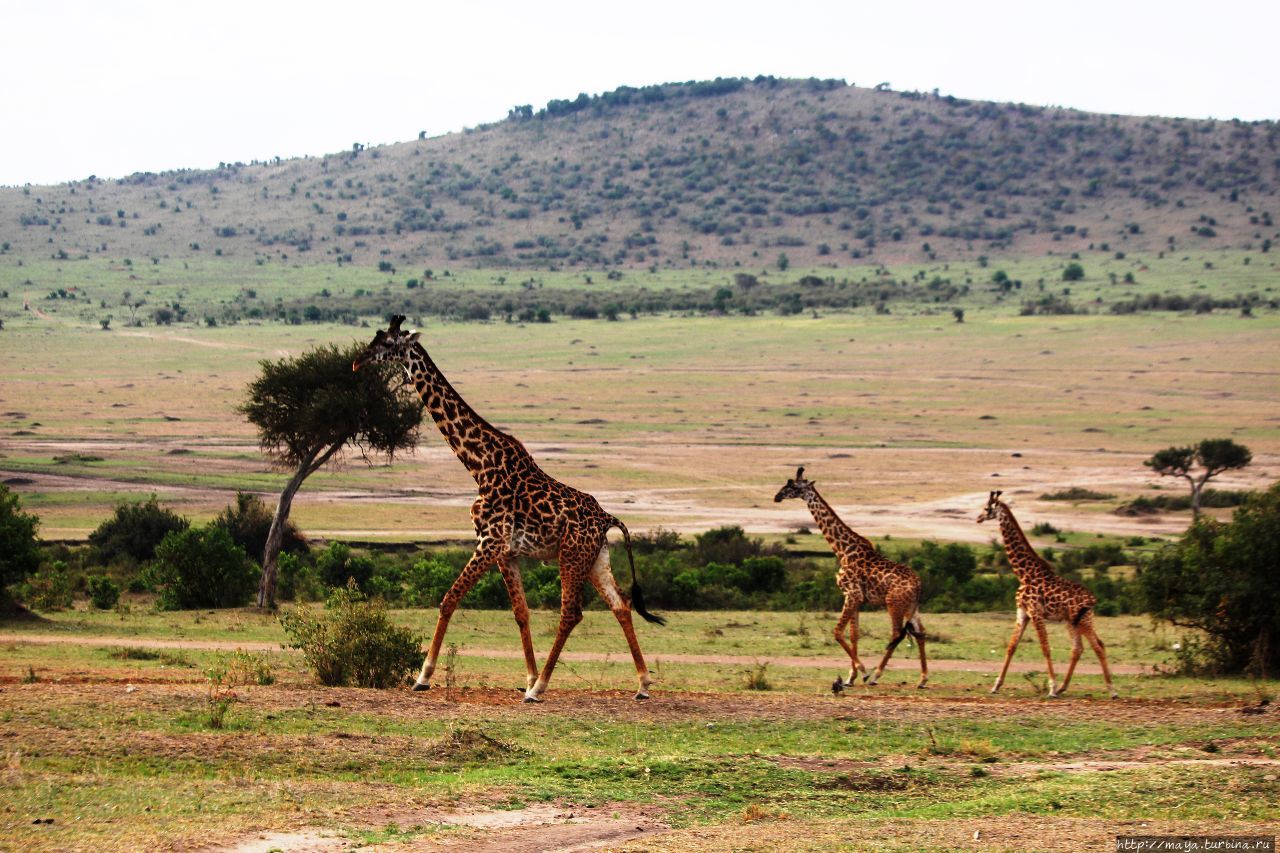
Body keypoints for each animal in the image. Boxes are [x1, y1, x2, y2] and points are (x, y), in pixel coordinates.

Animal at [353, 315, 665, 701]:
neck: (478, 464)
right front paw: (527, 677)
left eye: (387, 344)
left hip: (571, 556)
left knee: (571, 613)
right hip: (595, 558)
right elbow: (521, 612)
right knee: (620, 604)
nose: (357, 362)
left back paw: (542, 689)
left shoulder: (490, 541)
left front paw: (423, 677)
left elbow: (449, 599)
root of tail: (608, 518)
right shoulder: (506, 551)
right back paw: (642, 683)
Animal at [768, 468, 931, 686]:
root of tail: (919, 584)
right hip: (912, 606)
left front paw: (863, 672)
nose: (777, 497)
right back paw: (922, 679)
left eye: (792, 486)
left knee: (897, 633)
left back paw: (876, 675)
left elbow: (838, 632)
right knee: (920, 633)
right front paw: (850, 677)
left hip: (893, 604)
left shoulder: (851, 594)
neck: (842, 550)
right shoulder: (856, 598)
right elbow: (854, 634)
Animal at [977, 489, 1121, 696]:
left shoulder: (1035, 612)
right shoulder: (1022, 612)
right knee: (1079, 648)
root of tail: (1093, 599)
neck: (1024, 574)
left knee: (1098, 646)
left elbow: (1045, 647)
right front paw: (996, 685)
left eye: (987, 508)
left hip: (1083, 620)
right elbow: (1012, 647)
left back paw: (1111, 690)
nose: (978, 518)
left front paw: (1051, 687)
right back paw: (1063, 687)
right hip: (1073, 621)